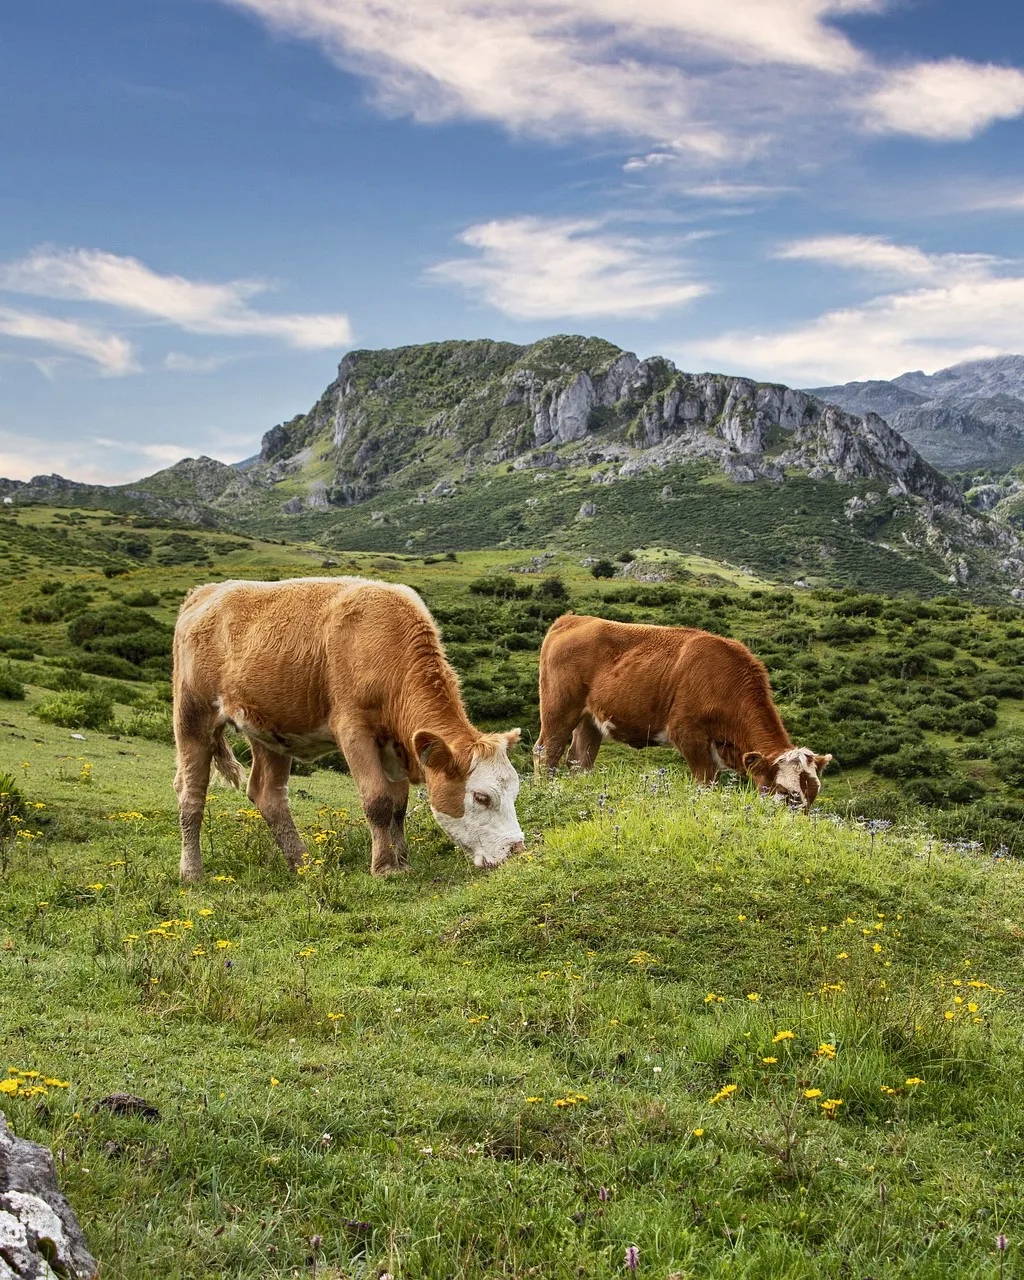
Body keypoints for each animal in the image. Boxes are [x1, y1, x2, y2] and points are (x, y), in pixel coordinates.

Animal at [172, 578, 524, 880]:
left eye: (515, 790)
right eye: (481, 797)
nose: (516, 850)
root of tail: (205, 592)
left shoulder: (394, 744)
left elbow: (398, 804)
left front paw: (402, 861)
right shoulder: (354, 729)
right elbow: (378, 799)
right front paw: (385, 867)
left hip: (269, 731)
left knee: (268, 795)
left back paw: (304, 865)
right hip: (192, 715)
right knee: (192, 793)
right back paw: (192, 872)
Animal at [535, 611, 829, 808]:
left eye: (813, 795)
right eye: (786, 793)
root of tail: (572, 619)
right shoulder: (688, 735)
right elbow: (704, 782)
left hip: (590, 719)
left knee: (579, 759)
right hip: (558, 709)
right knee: (546, 752)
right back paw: (546, 791)